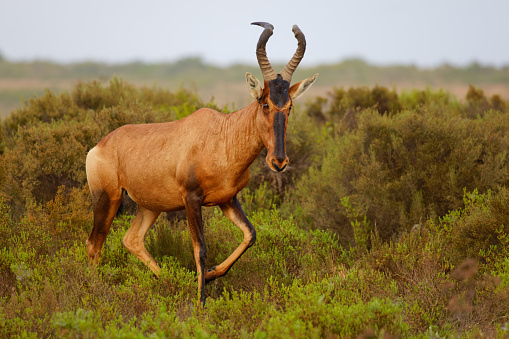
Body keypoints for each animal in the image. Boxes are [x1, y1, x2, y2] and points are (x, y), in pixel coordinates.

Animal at [86, 21, 318, 306]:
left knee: (132, 240)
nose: (279, 162)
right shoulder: (191, 199)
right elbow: (200, 249)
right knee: (95, 243)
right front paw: (201, 303)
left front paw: (209, 276)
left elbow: (250, 234)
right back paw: (95, 290)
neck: (223, 134)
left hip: (150, 206)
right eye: (265, 103)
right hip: (107, 198)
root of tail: (99, 145)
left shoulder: (227, 200)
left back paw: (173, 283)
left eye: (289, 107)